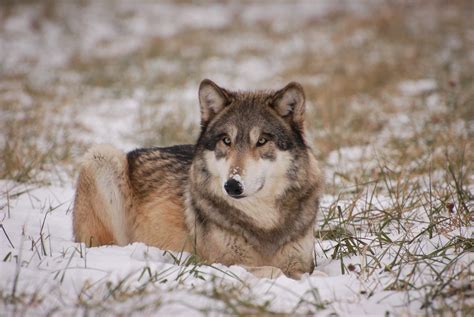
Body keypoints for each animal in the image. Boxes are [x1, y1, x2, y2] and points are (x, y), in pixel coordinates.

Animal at [72, 79, 324, 278]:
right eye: (226, 140)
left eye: (262, 141)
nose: (232, 185)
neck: (263, 223)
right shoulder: (213, 263)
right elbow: (273, 270)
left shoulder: (303, 263)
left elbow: (312, 273)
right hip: (101, 155)